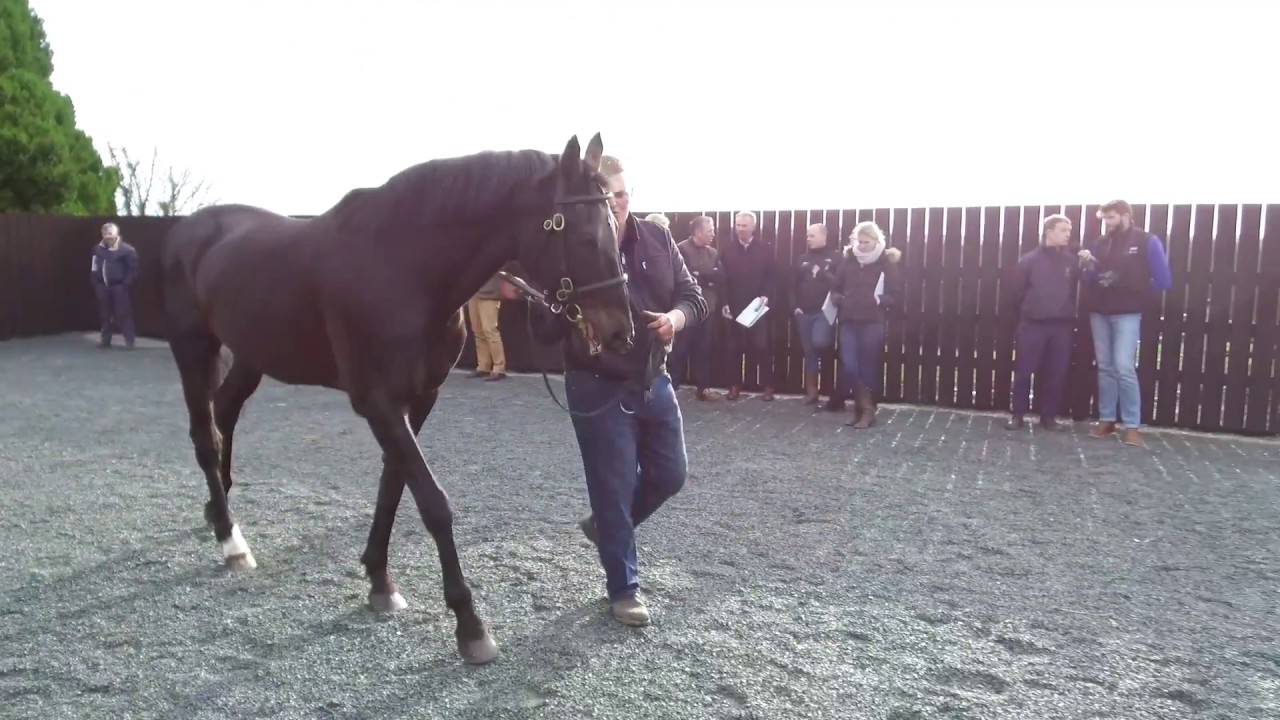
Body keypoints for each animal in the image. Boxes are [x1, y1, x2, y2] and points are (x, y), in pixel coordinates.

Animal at [160, 133, 633, 665]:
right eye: (587, 236)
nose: (622, 332)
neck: (403, 267)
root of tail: (190, 229)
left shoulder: (419, 398)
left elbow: (393, 486)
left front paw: (379, 581)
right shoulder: (377, 402)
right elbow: (432, 502)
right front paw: (470, 625)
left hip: (250, 355)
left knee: (224, 414)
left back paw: (218, 510)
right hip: (192, 346)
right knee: (205, 434)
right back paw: (230, 539)